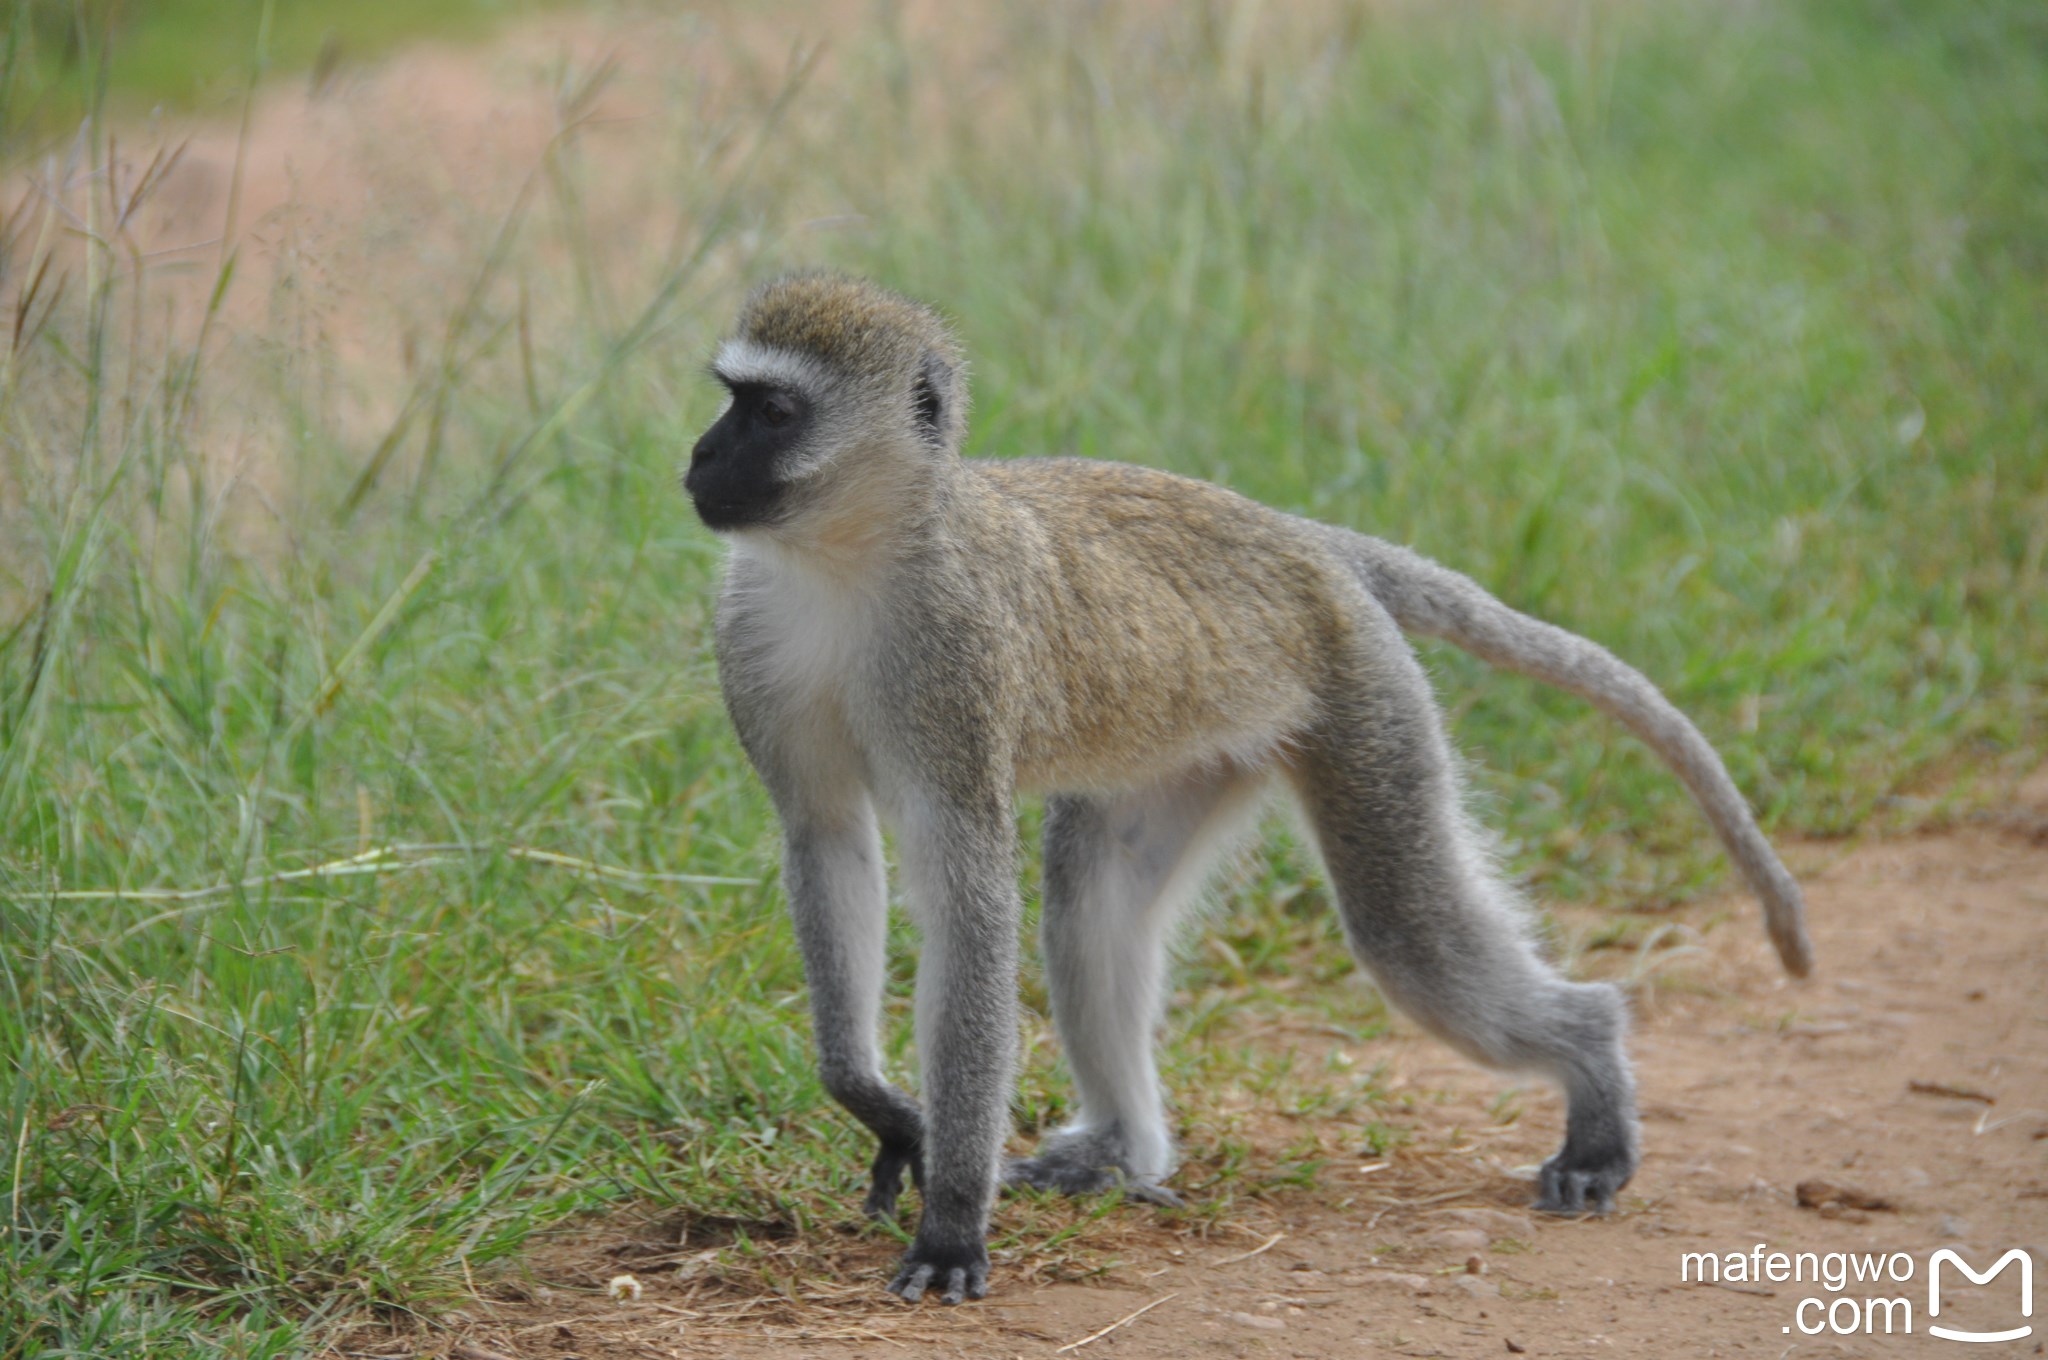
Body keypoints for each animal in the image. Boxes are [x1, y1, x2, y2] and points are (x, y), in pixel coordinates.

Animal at [688, 270, 1810, 1302]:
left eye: (773, 412)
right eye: (732, 396)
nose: (697, 458)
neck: (848, 559)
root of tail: (1302, 541)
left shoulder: (956, 663)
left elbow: (967, 901)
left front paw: (955, 1222)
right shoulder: (752, 630)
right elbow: (827, 840)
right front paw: (875, 1104)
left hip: (1363, 696)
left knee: (1409, 936)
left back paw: (1593, 1078)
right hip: (1187, 746)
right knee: (1095, 907)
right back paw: (1125, 1149)